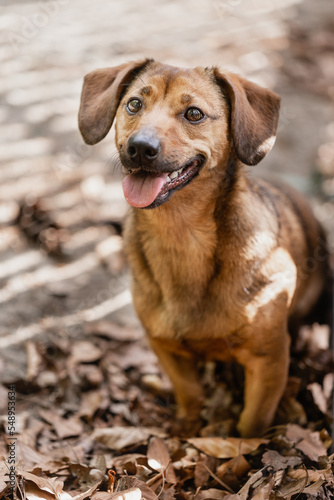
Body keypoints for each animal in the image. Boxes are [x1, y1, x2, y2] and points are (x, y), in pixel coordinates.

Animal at [79, 59, 328, 438]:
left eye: (194, 113)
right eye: (134, 104)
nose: (140, 147)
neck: (181, 236)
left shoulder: (269, 359)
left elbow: (251, 423)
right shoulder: (166, 348)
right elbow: (191, 394)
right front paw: (188, 430)